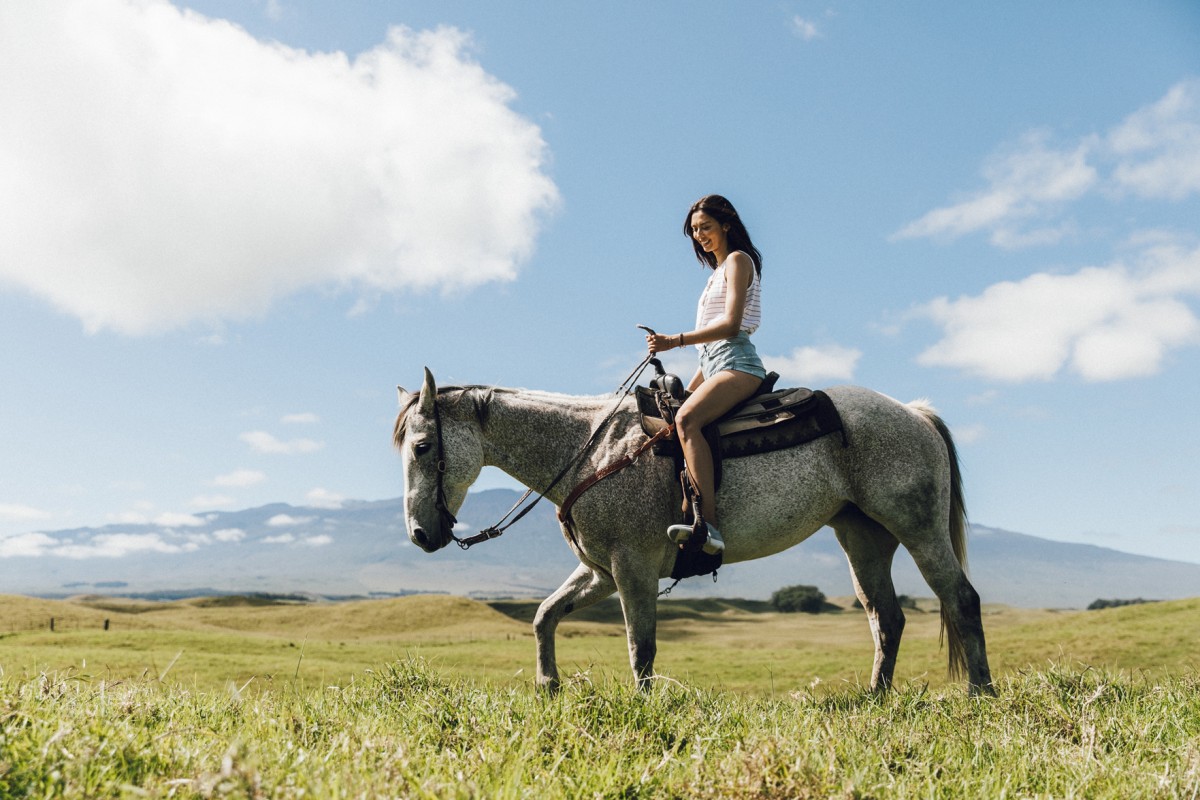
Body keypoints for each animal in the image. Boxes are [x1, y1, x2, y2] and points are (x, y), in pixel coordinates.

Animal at [393, 369, 993, 695]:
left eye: (422, 446)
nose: (421, 534)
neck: (589, 450)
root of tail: (913, 413)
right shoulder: (599, 572)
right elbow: (544, 616)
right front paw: (548, 688)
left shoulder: (632, 566)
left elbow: (641, 646)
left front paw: (641, 708)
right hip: (863, 536)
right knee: (885, 616)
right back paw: (875, 699)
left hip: (917, 527)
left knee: (961, 598)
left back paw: (980, 695)